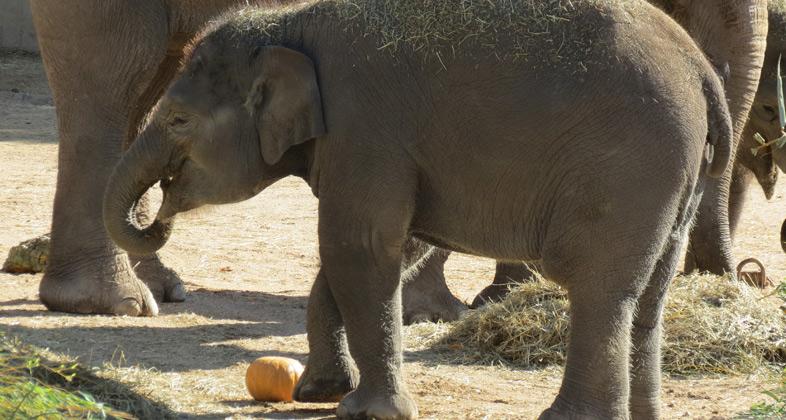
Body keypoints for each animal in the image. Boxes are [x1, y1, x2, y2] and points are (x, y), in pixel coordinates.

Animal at [102, 1, 728, 418]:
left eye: (178, 119)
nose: (160, 215)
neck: (289, 23)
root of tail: (703, 73)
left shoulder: (364, 126)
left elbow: (357, 244)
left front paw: (366, 411)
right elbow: (388, 246)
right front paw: (320, 393)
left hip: (630, 165)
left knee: (600, 286)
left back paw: (570, 418)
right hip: (678, 176)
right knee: (650, 291)